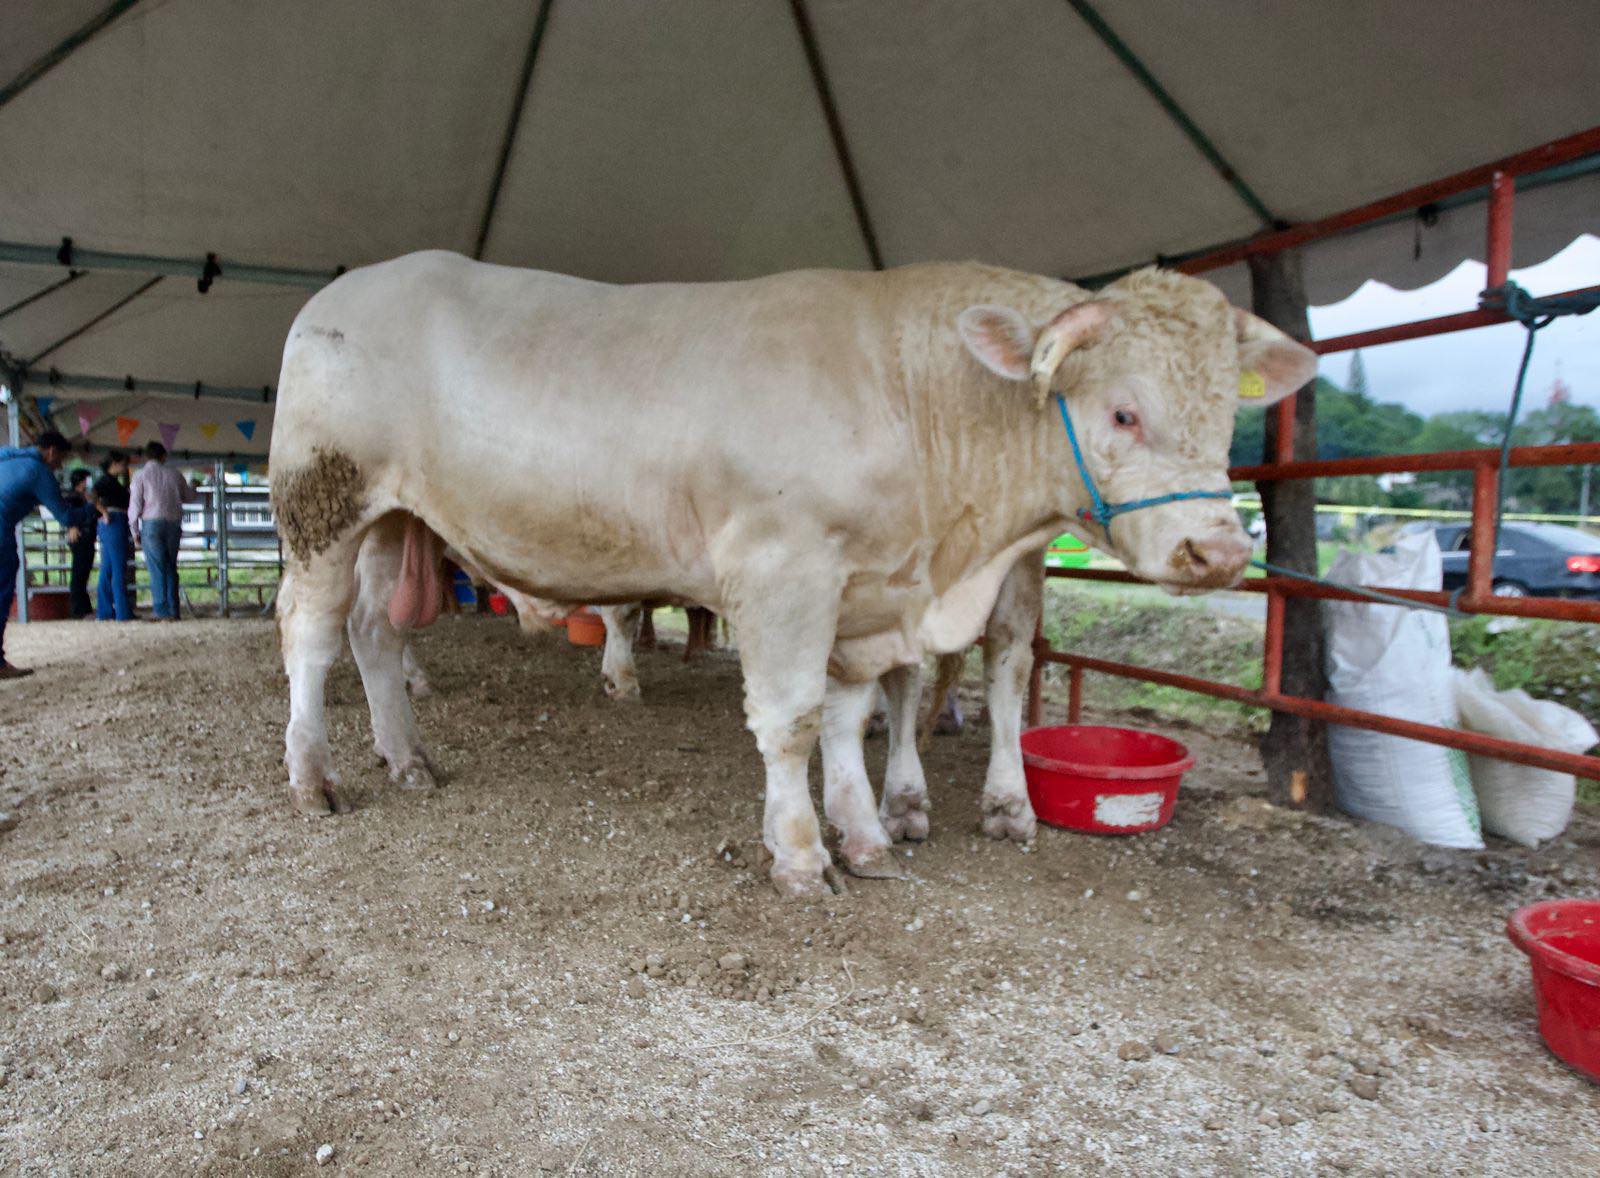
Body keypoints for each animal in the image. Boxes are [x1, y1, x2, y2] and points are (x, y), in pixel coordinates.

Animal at [269, 253, 1312, 897]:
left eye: (1228, 413)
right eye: (1124, 412)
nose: (1220, 552)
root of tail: (344, 291)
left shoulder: (862, 593)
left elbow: (850, 717)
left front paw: (866, 835)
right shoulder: (784, 569)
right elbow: (792, 720)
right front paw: (804, 853)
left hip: (393, 519)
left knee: (375, 632)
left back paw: (406, 756)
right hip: (322, 500)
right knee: (312, 635)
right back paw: (315, 777)